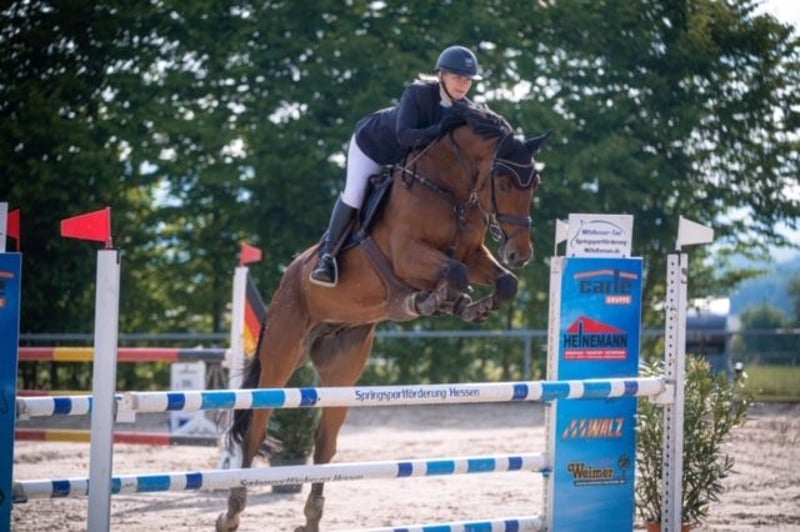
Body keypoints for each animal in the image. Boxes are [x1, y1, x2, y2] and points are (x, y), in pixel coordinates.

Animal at [216, 103, 550, 532]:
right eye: (505, 182)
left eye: (534, 183)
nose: (520, 253)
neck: (451, 190)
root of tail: (290, 275)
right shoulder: (409, 255)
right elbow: (453, 273)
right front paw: (432, 301)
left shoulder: (474, 254)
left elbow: (503, 282)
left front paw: (470, 306)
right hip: (282, 354)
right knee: (256, 428)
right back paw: (232, 511)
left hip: (343, 368)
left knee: (324, 444)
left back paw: (311, 517)